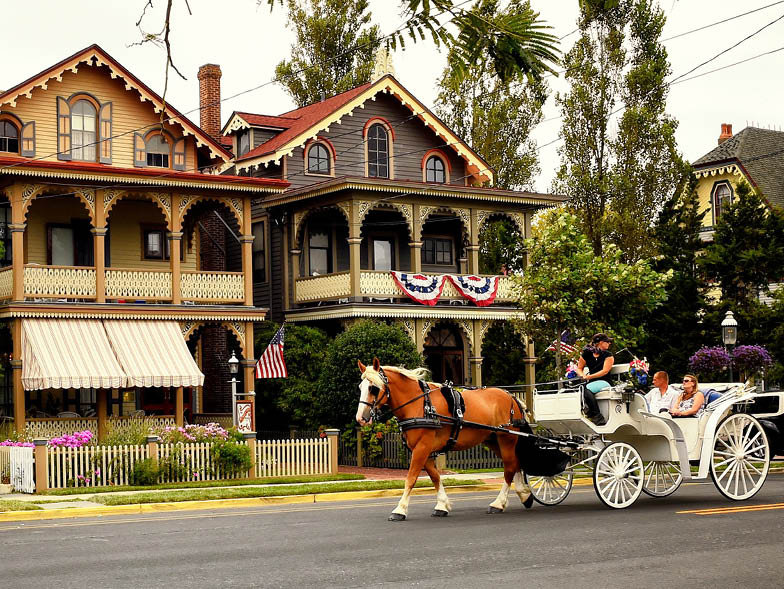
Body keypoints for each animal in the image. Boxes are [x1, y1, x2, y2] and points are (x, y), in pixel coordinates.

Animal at [356, 358, 532, 520]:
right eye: (360, 387)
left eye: (373, 388)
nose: (360, 418)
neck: (420, 405)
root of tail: (512, 396)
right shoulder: (424, 449)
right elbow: (435, 476)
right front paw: (442, 505)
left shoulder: (422, 447)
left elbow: (411, 478)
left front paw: (400, 509)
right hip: (493, 440)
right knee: (515, 463)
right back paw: (524, 494)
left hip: (507, 439)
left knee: (509, 468)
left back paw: (498, 503)